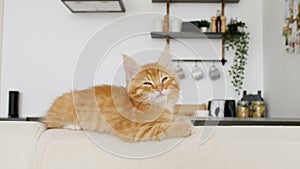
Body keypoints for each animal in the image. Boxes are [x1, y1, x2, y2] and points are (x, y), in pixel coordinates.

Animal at [45, 53, 192, 142]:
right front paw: (186, 126)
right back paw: (73, 125)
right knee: (50, 124)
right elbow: (165, 128)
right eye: (147, 83)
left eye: (164, 79)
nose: (160, 89)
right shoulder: (138, 130)